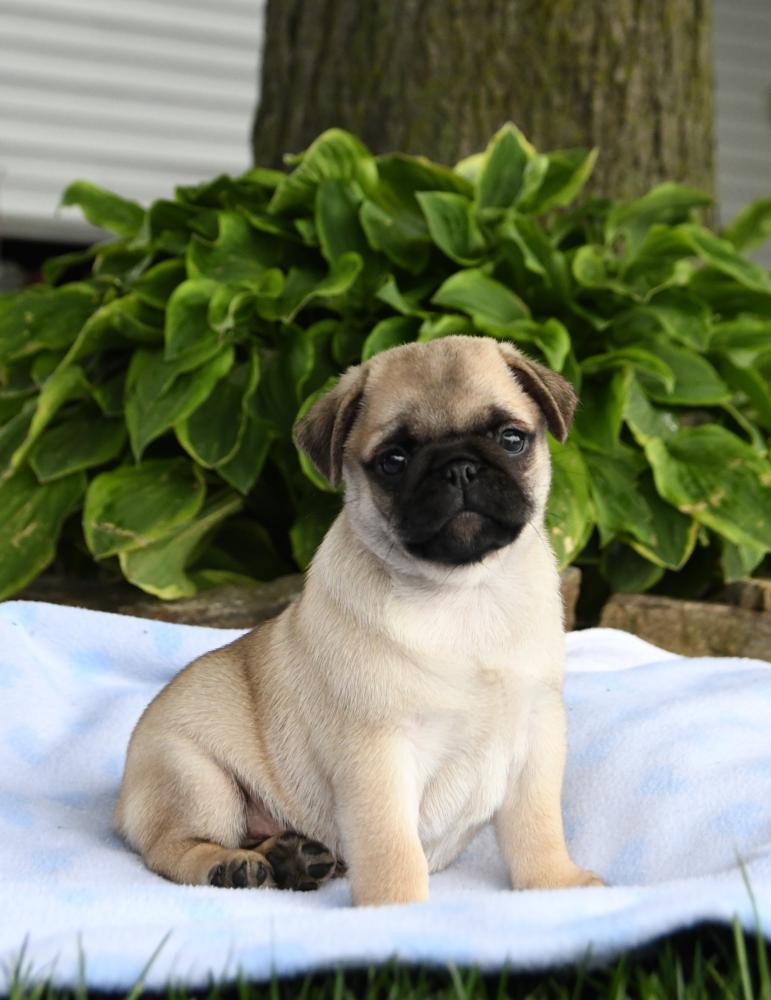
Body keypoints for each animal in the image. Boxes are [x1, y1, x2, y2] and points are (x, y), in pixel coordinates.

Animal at [114, 338, 600, 908]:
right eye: (393, 461)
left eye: (511, 438)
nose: (458, 468)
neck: (463, 595)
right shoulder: (377, 754)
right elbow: (391, 843)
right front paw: (396, 909)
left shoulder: (536, 734)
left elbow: (538, 826)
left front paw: (555, 886)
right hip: (192, 776)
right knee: (172, 847)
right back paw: (230, 865)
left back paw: (294, 856)